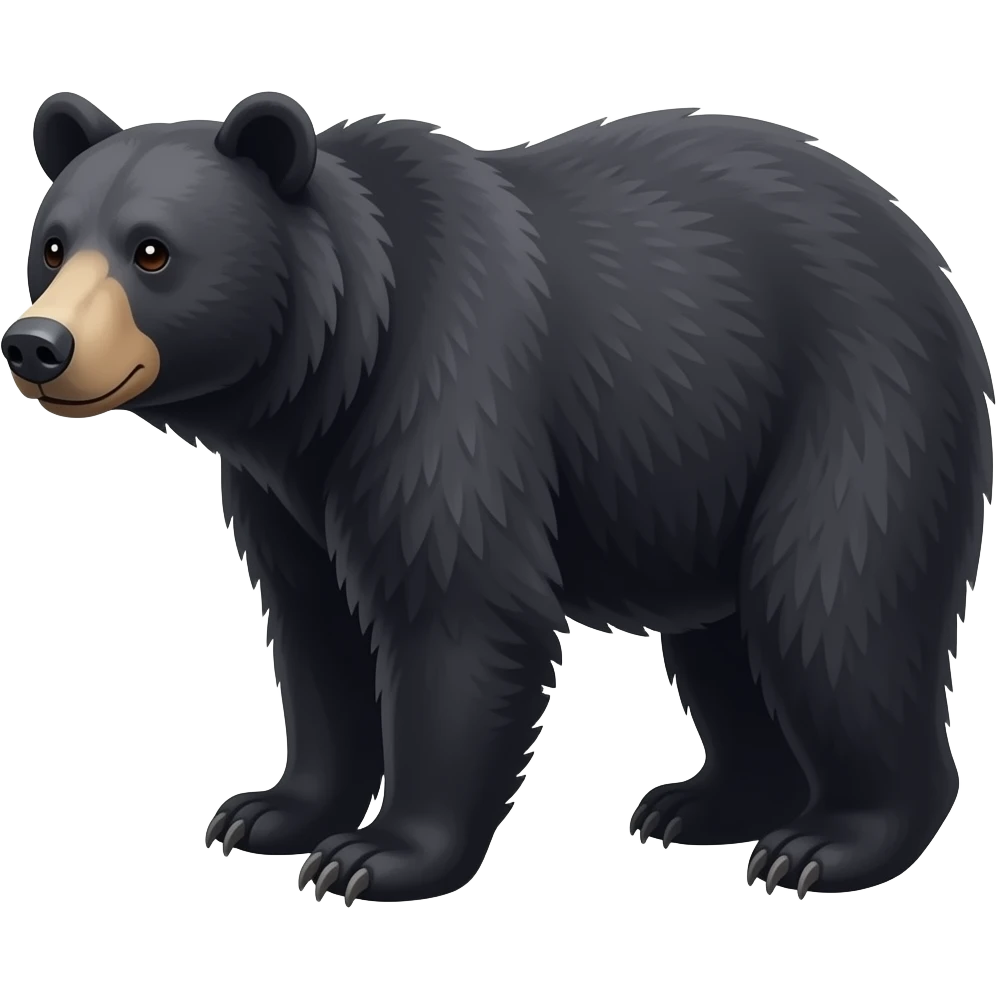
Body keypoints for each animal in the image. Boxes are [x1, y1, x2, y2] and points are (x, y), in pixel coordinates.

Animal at [4, 92, 992, 905]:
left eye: (152, 250)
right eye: (53, 243)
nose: (37, 344)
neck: (331, 370)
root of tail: (924, 253)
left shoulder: (449, 389)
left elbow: (459, 610)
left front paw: (376, 856)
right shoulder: (285, 488)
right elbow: (313, 626)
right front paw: (270, 812)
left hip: (859, 409)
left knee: (830, 610)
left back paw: (829, 842)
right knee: (723, 636)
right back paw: (704, 803)